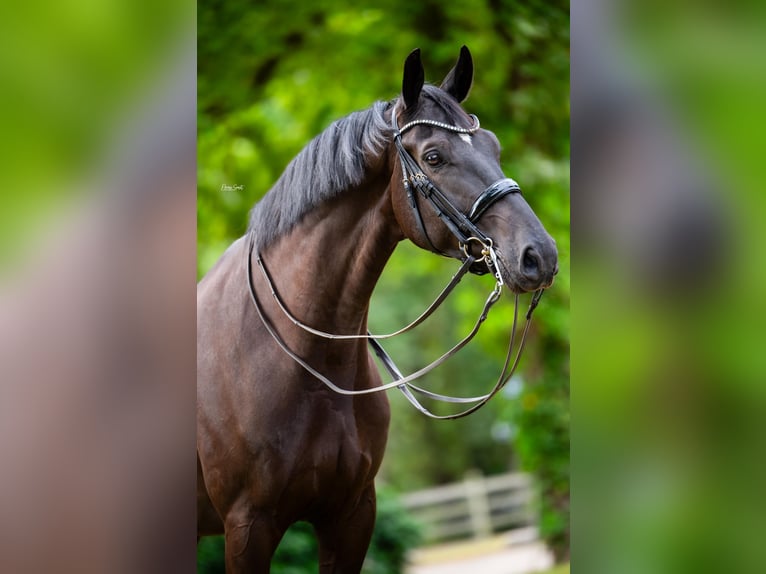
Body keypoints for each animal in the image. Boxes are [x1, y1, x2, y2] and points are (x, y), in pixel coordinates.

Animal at [197, 46, 558, 572]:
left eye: (493, 146)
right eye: (434, 156)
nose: (540, 256)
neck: (300, 357)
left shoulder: (351, 516)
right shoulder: (248, 525)